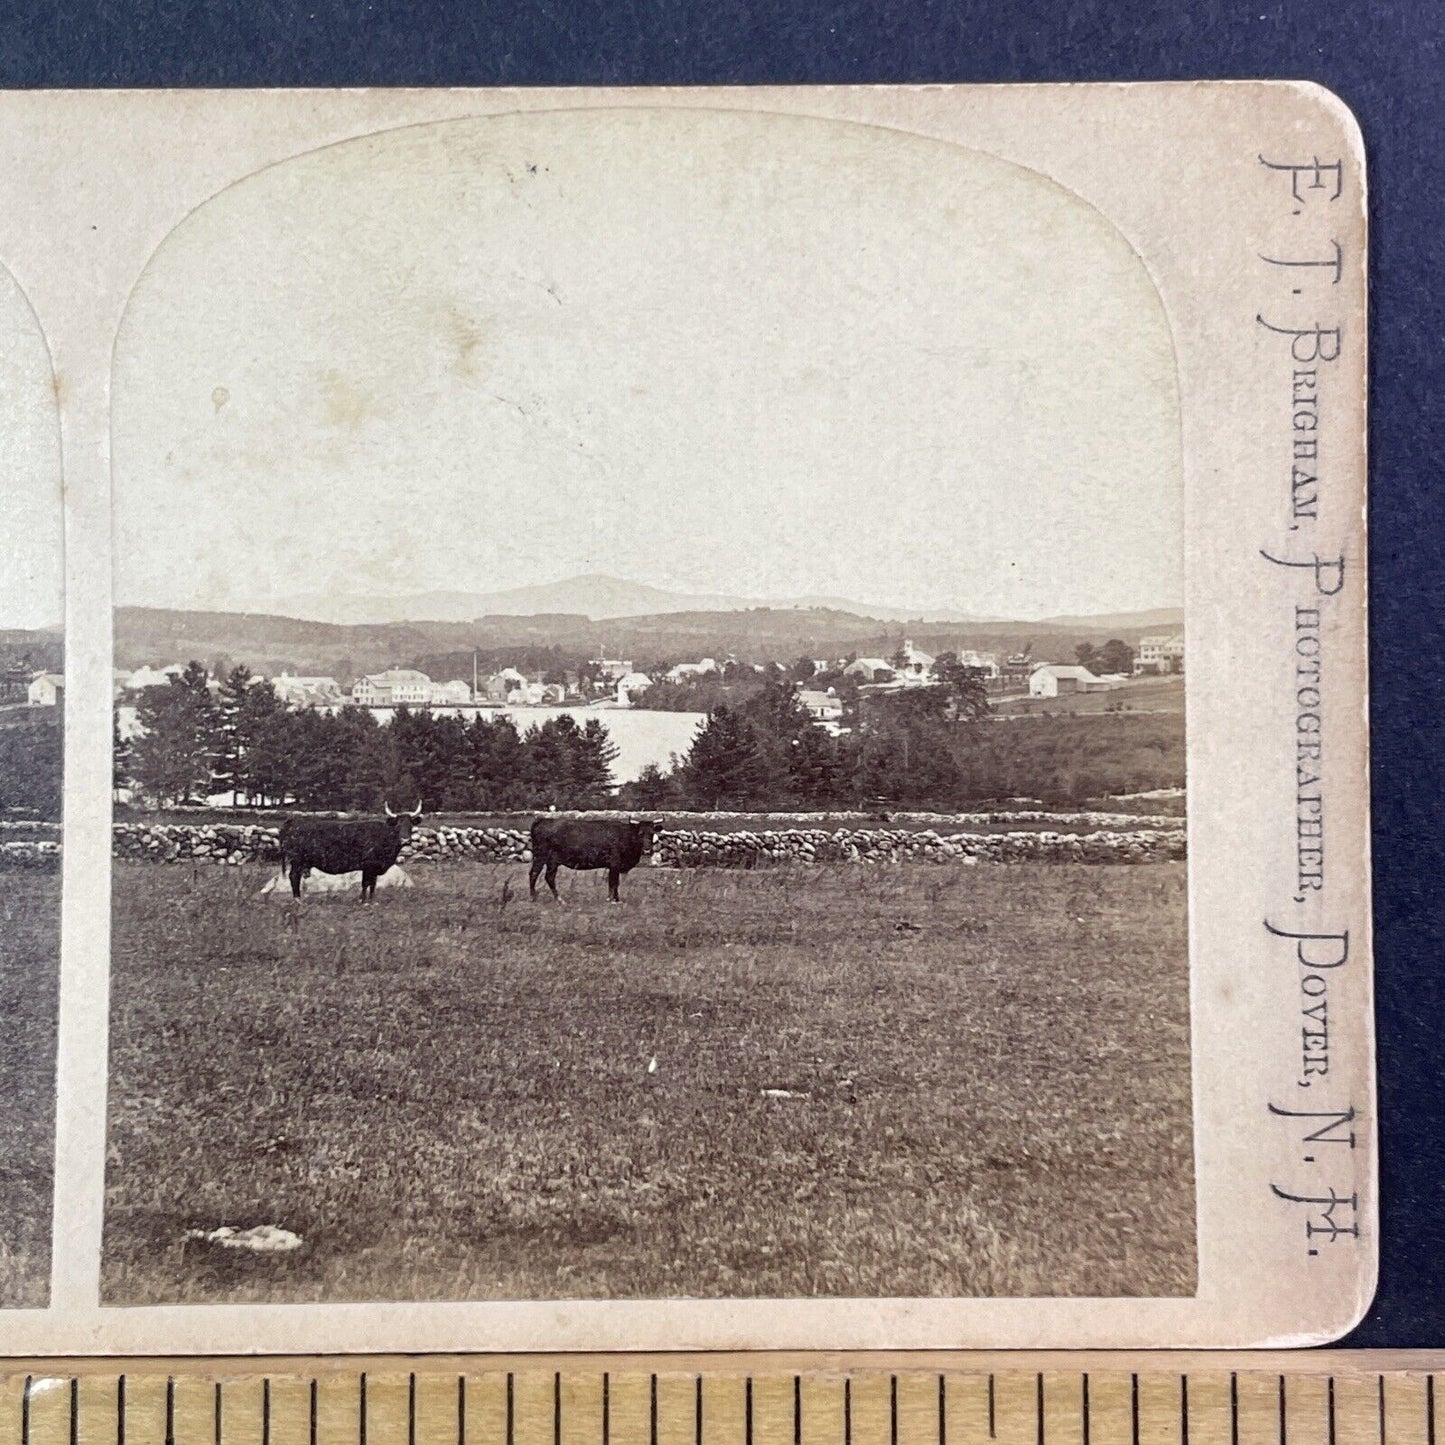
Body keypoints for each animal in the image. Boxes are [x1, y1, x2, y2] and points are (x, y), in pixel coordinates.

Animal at [274, 809, 421, 895]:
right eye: (398, 826)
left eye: (410, 825)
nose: (405, 840)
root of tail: (293, 821)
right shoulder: (369, 866)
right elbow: (366, 883)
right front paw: (364, 902)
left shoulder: (372, 868)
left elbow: (371, 884)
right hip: (297, 861)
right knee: (294, 877)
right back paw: (298, 900)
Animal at [531, 820, 661, 895]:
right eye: (640, 834)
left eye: (652, 833)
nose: (647, 850)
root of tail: (542, 821)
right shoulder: (614, 864)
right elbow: (613, 883)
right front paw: (613, 900)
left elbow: (615, 883)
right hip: (541, 857)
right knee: (534, 874)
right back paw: (534, 897)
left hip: (552, 862)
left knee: (549, 877)